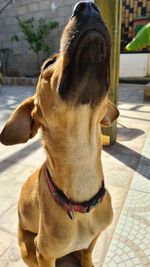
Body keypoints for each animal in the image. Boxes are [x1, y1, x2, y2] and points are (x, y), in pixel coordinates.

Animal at [0, 2, 119, 267]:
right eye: (47, 65)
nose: (88, 6)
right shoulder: (43, 253)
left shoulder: (94, 239)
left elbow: (87, 253)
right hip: (27, 247)